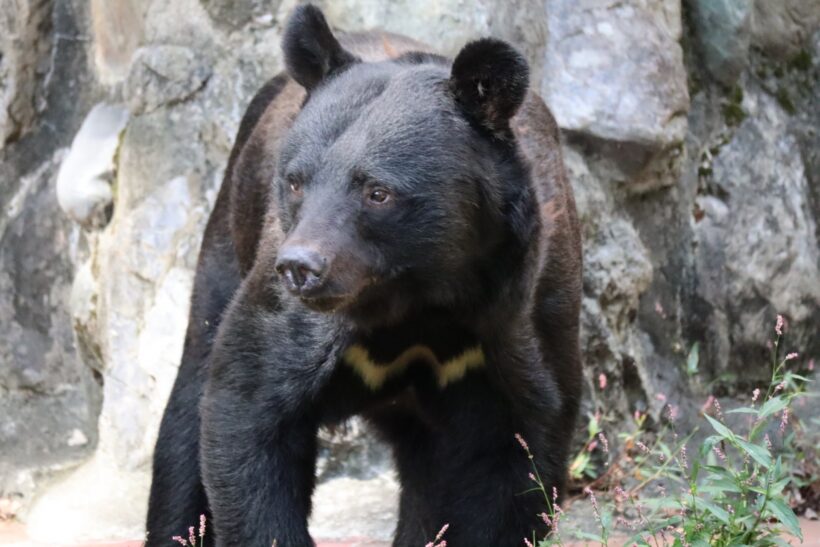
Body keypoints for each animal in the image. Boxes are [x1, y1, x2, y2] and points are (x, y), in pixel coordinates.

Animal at [146, 5, 582, 546]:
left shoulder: (524, 314)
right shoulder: (289, 316)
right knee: (187, 411)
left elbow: (521, 457)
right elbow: (248, 408)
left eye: (377, 191)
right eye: (295, 181)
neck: (417, 295)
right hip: (229, 237)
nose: (299, 267)